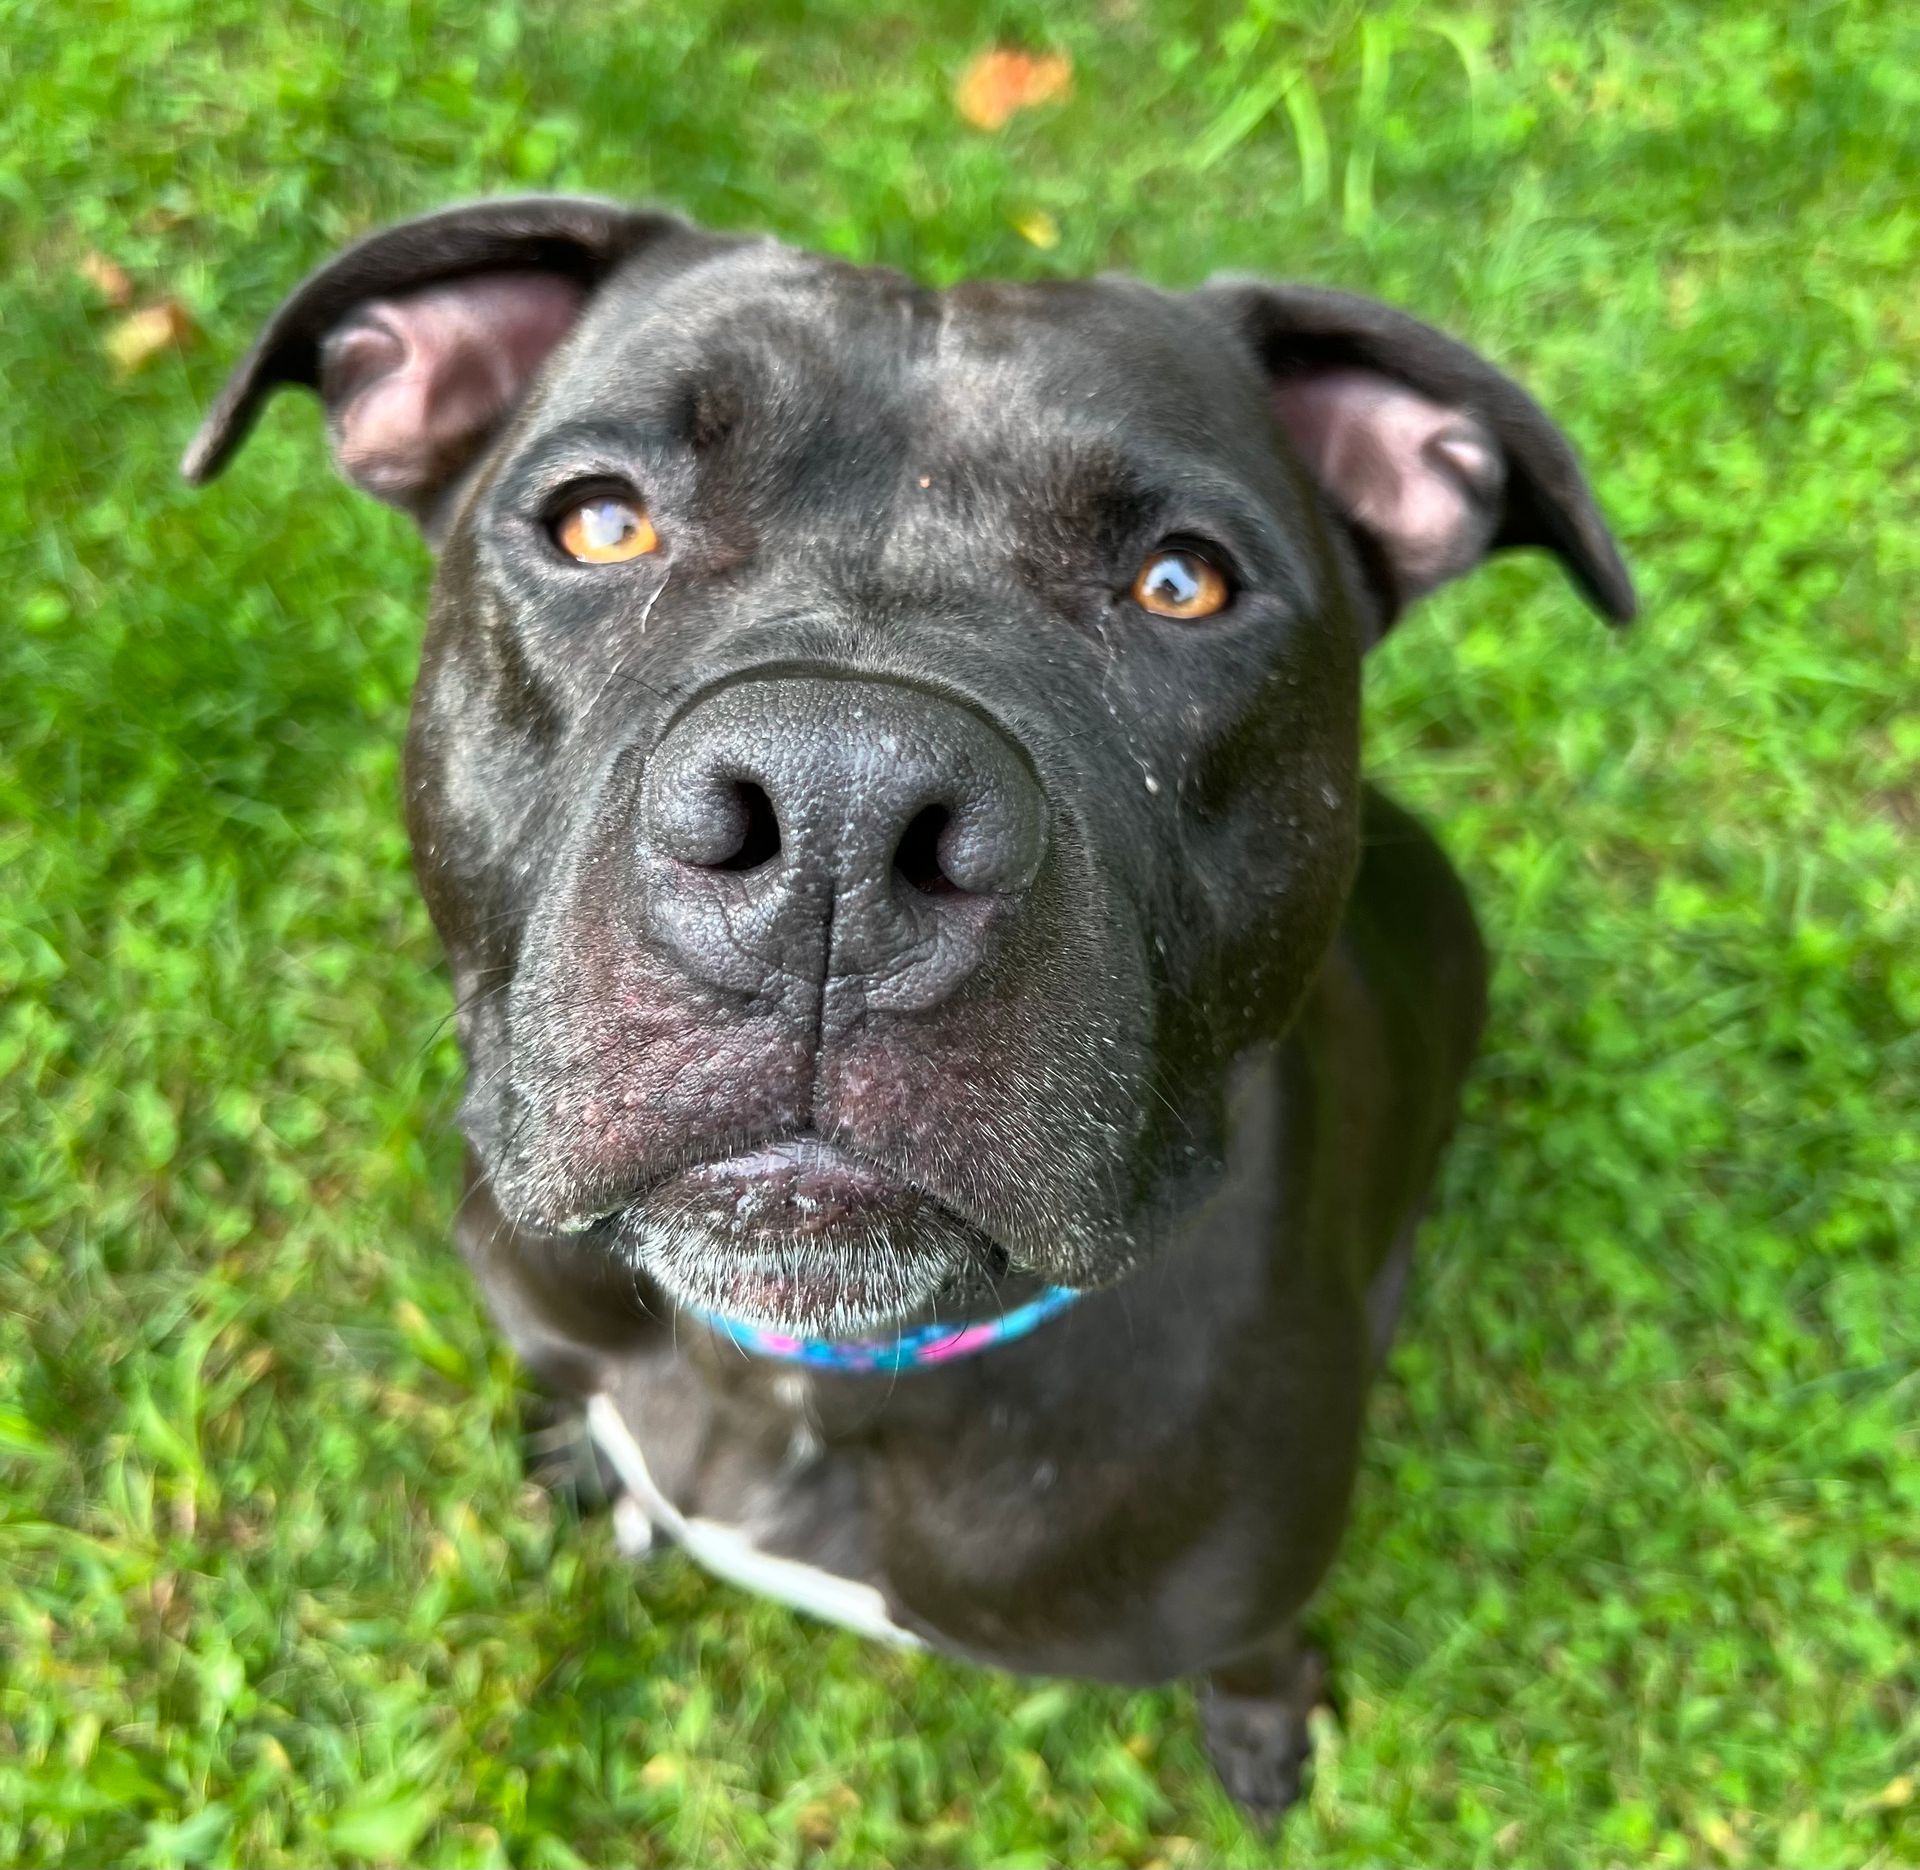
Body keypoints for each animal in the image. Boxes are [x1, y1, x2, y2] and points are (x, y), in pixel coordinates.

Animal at [183, 193, 1635, 1812]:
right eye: (599, 521)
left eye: (1183, 582)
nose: (841, 809)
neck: (803, 1376)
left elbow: (1257, 1655)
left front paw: (1269, 1733)